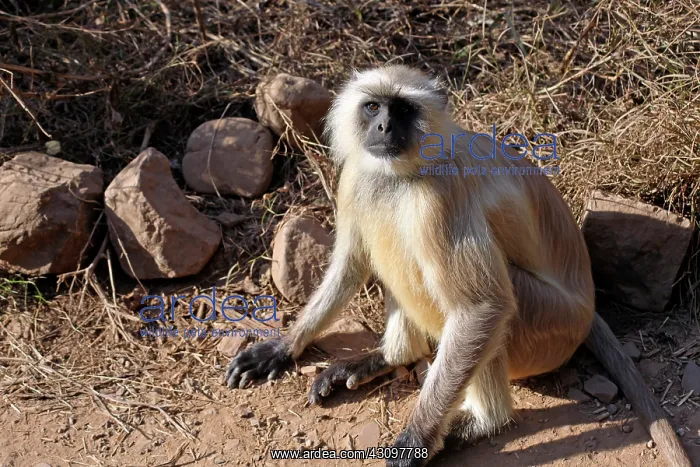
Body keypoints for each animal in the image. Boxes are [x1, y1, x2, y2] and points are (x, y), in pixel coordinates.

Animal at [224, 65, 692, 467]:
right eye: (374, 107)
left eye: (404, 110)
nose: (384, 127)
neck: (405, 169)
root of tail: (586, 308)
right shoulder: (357, 176)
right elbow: (350, 263)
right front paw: (282, 348)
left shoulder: (439, 199)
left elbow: (480, 308)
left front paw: (416, 442)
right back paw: (390, 357)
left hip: (550, 325)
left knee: (482, 296)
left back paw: (482, 421)